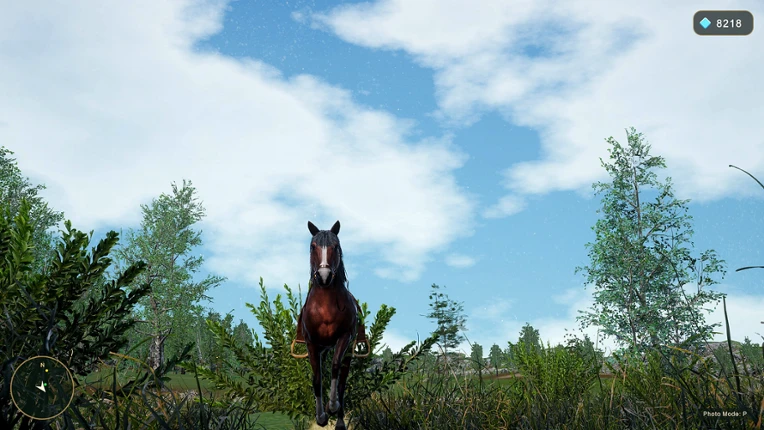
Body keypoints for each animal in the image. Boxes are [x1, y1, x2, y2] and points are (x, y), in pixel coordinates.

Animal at [293, 220, 365, 429]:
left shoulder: (343, 338)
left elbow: (335, 368)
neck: (325, 306)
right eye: (312, 247)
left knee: (341, 382)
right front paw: (321, 416)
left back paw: (339, 419)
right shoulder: (312, 344)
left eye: (336, 246)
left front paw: (332, 407)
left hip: (347, 352)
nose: (324, 276)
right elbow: (317, 378)